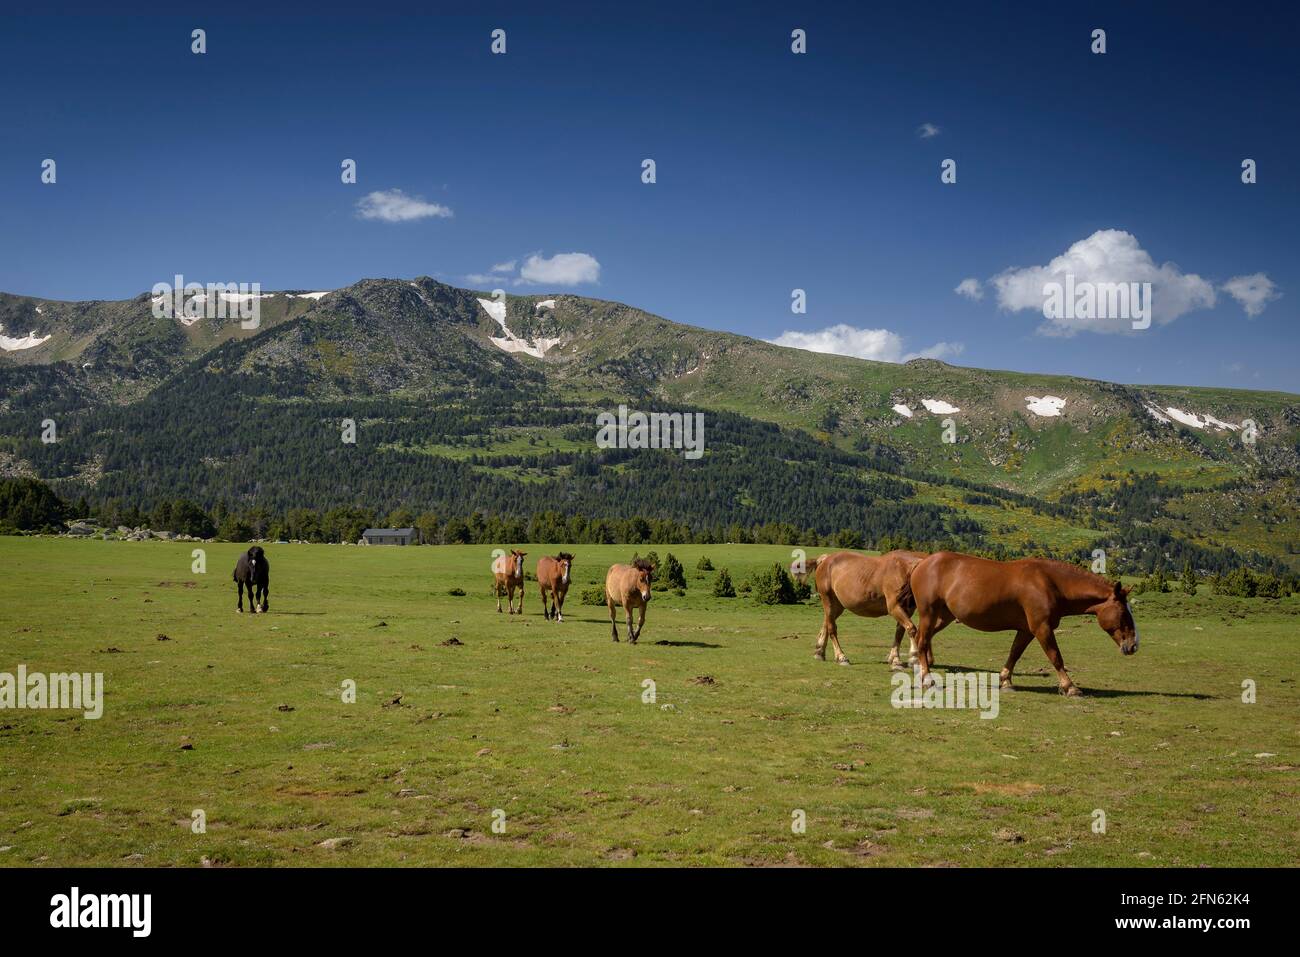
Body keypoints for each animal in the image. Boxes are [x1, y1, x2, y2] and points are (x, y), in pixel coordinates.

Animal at [904, 553, 1138, 696]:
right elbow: (1056, 657)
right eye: (1123, 614)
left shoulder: (1026, 630)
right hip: (929, 613)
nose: (1133, 645)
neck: (1049, 582)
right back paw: (927, 678)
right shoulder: (1042, 628)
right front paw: (1070, 687)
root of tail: (922, 563)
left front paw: (1006, 681)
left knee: (923, 638)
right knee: (922, 640)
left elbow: (1014, 654)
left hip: (943, 616)